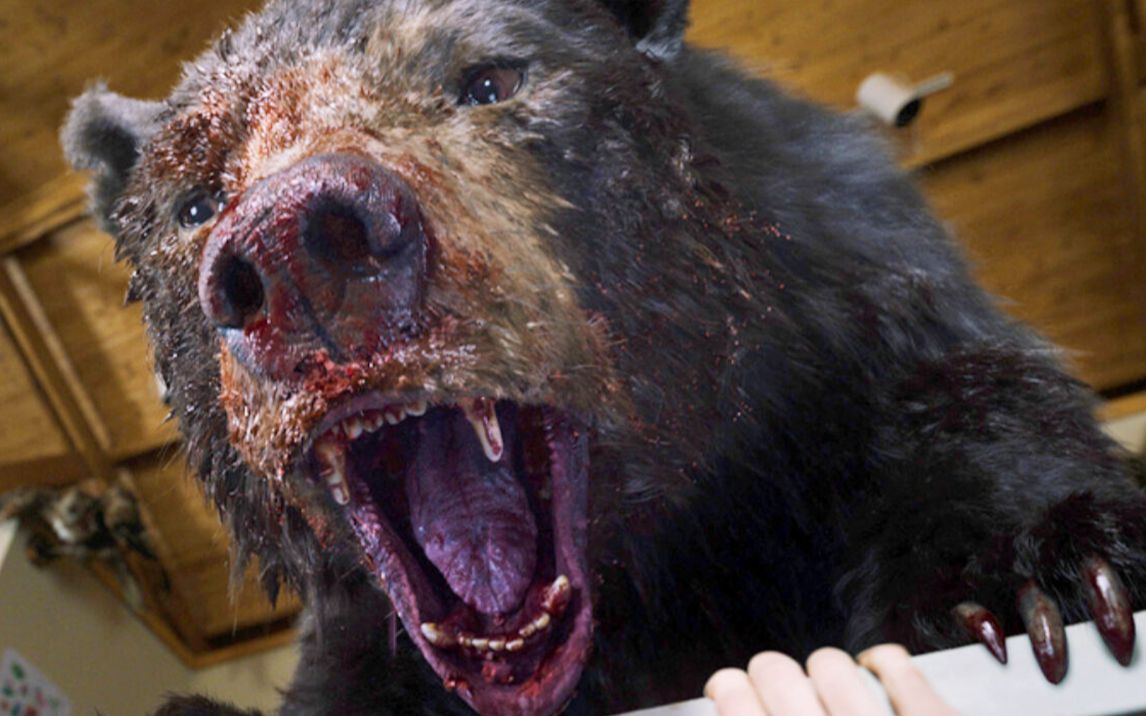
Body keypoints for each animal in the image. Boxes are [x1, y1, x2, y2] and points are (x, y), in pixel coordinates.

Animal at [61, 0, 1146, 714]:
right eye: (194, 199)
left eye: (488, 79)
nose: (296, 246)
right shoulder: (368, 640)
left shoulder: (844, 306)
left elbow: (963, 404)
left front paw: (1034, 577)